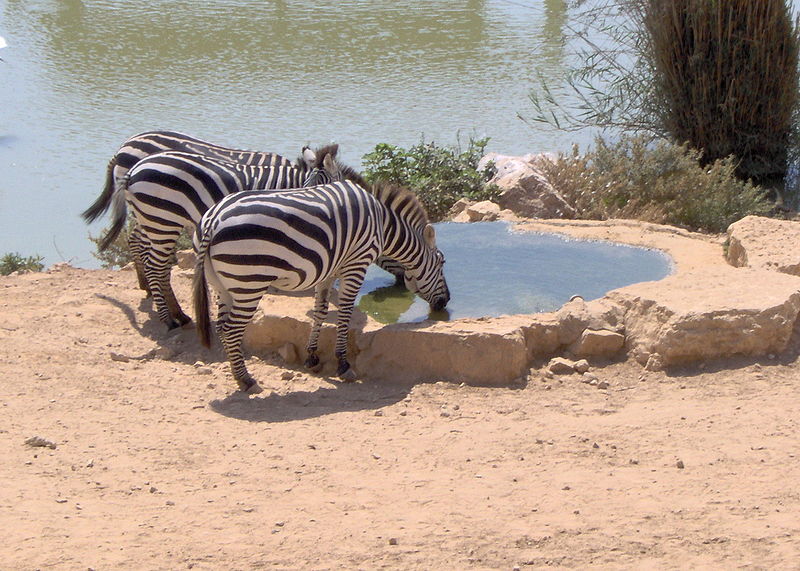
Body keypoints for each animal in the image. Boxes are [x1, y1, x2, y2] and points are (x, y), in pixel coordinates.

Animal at [91, 144, 362, 330]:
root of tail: (134, 169)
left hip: (150, 218)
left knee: (146, 252)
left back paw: (172, 309)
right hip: (162, 220)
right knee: (155, 266)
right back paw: (169, 319)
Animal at [190, 181, 446, 396]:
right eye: (442, 262)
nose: (445, 302)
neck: (382, 225)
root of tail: (213, 218)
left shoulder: (330, 268)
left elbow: (320, 311)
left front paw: (312, 356)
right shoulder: (357, 264)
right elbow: (344, 313)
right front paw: (343, 364)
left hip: (222, 284)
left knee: (222, 326)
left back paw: (237, 375)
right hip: (249, 281)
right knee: (231, 329)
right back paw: (246, 380)